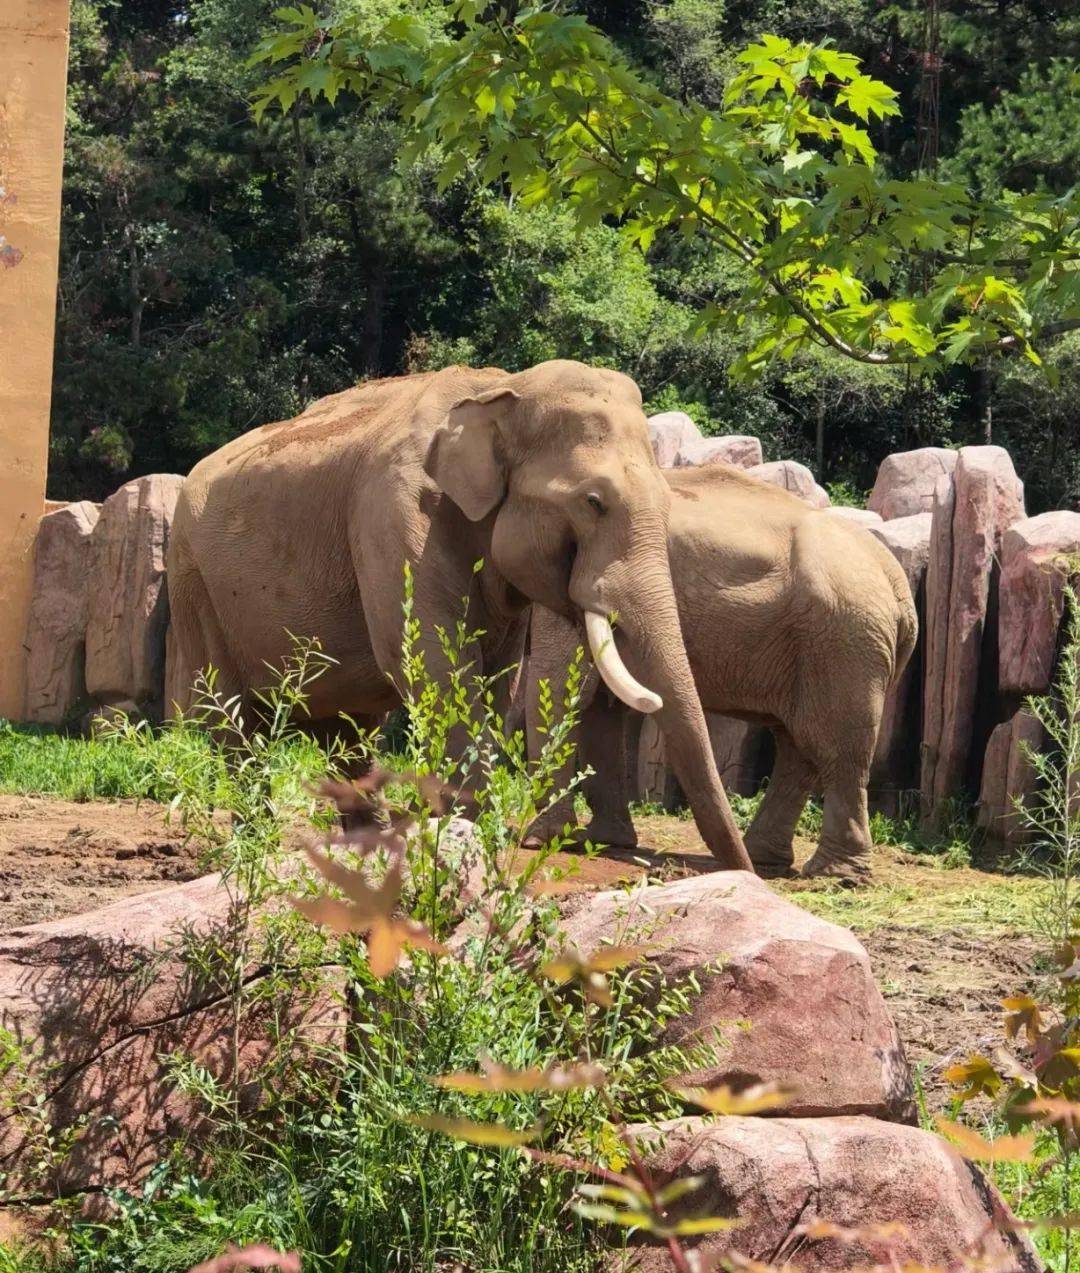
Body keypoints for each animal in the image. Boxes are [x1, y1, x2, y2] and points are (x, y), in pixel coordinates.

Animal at [168, 364, 753, 870]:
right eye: (593, 502)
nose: (746, 872)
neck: (501, 388)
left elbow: (495, 675)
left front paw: (456, 828)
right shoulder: (392, 515)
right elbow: (433, 666)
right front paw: (468, 832)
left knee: (351, 725)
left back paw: (368, 839)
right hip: (192, 580)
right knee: (234, 716)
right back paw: (257, 838)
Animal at [527, 463, 916, 880]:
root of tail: (898, 584)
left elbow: (566, 687)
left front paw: (545, 841)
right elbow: (601, 703)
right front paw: (603, 841)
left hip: (844, 640)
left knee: (833, 746)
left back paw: (833, 875)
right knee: (798, 747)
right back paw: (764, 858)